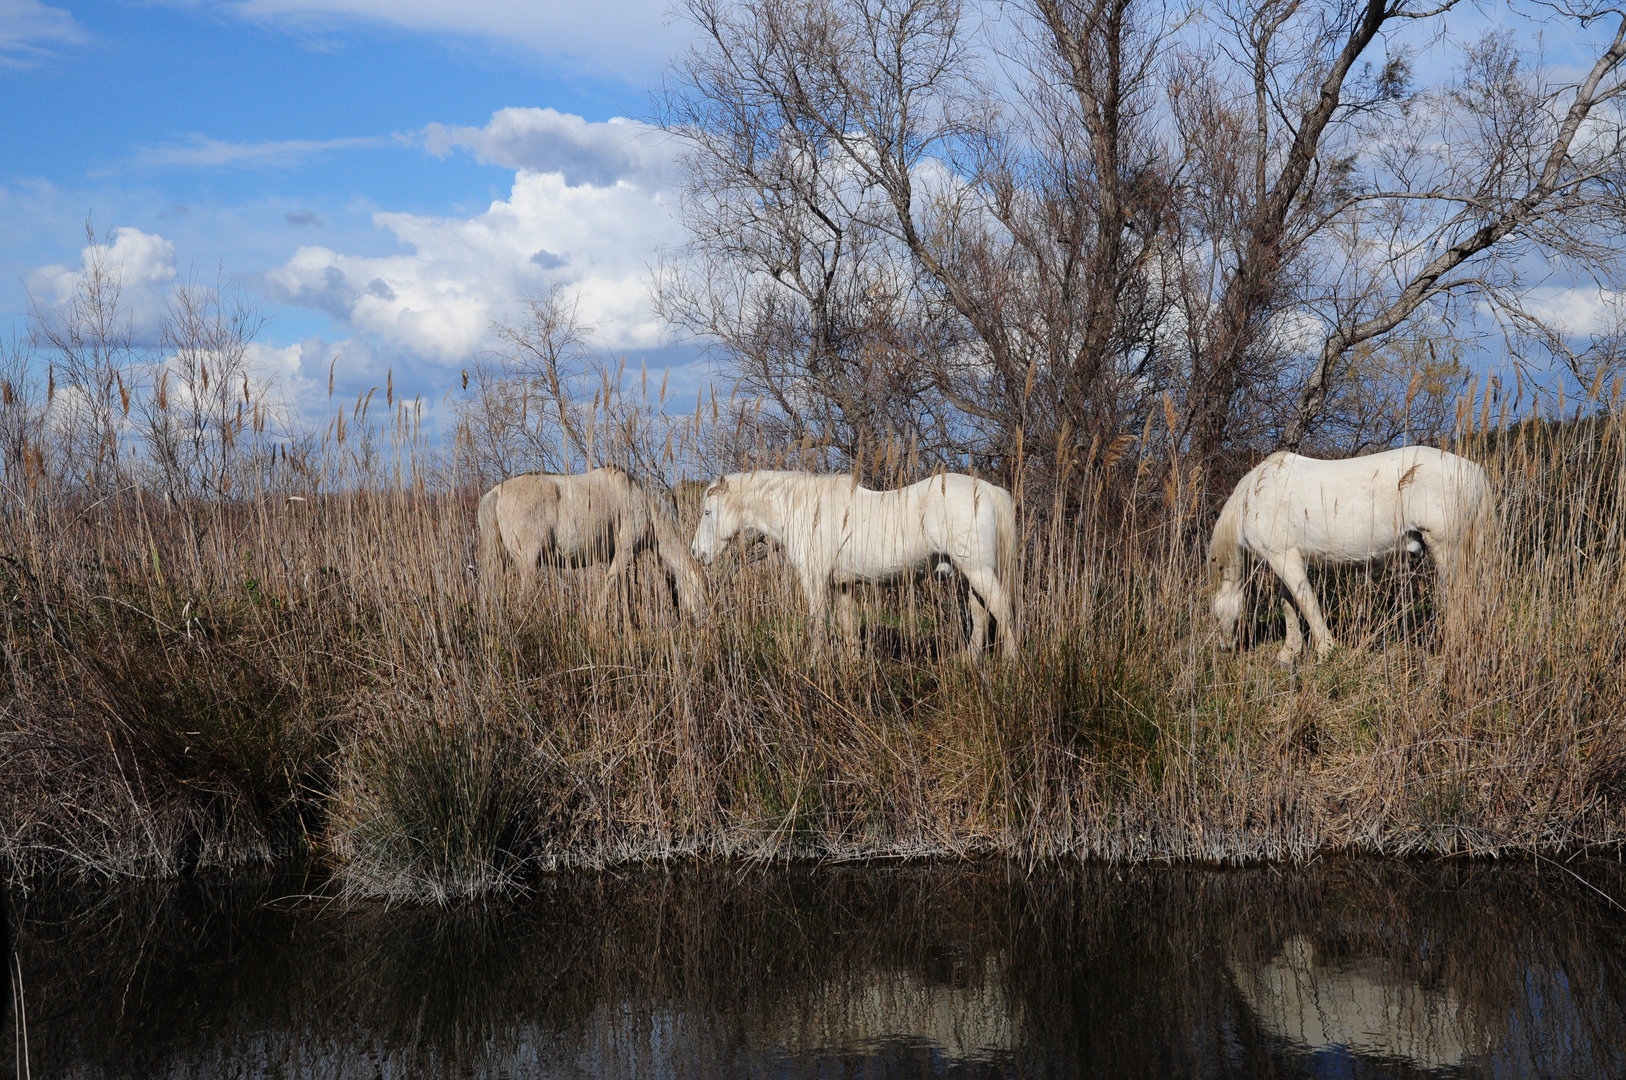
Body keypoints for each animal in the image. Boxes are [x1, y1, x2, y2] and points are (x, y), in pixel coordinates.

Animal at [474, 465, 705, 624]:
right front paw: (598, 619)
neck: (644, 504)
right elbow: (608, 587)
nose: (703, 622)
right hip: (528, 563)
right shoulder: (624, 552)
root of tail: (496, 493)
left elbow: (624, 592)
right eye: (702, 593)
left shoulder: (614, 557)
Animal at [686, 471, 1014, 657]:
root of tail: (988, 491)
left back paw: (1011, 665)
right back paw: (969, 663)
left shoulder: (815, 581)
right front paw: (853, 667)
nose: (696, 552)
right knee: (981, 615)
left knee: (1002, 610)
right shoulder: (844, 586)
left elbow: (818, 624)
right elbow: (848, 628)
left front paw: (815, 666)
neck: (805, 510)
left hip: (978, 570)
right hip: (971, 573)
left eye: (707, 512)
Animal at [1209, 445, 1495, 663]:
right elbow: (1290, 606)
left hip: (1446, 548)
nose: (1224, 647)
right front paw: (1289, 654)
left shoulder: (1284, 558)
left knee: (1458, 598)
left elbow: (1307, 603)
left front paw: (1325, 651)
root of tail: (1473, 471)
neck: (1253, 497)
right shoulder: (1284, 559)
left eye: (1216, 615)